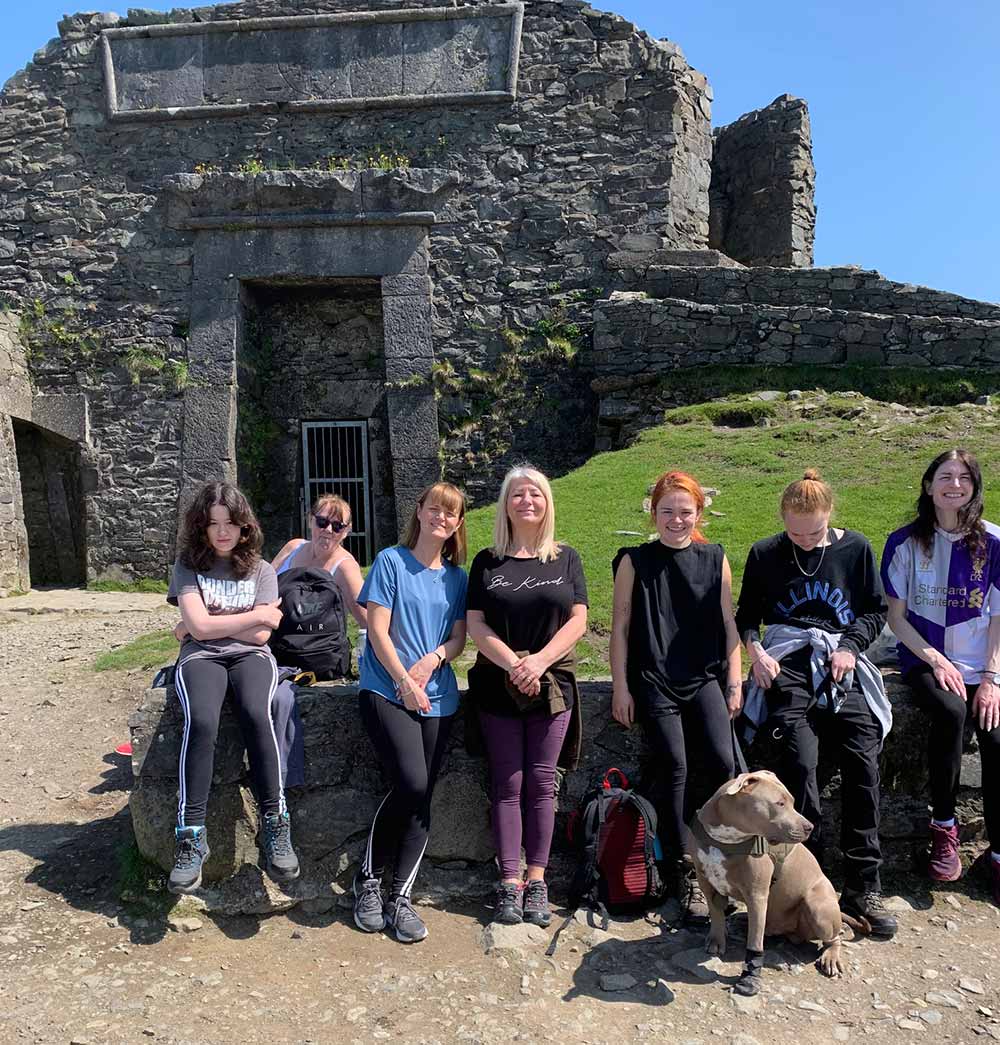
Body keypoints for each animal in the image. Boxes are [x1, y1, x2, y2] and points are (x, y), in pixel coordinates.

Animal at [685, 769, 865, 994]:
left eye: (793, 802)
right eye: (779, 803)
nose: (810, 827)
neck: (727, 839)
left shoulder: (757, 895)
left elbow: (755, 943)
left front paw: (750, 977)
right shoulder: (706, 882)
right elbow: (716, 913)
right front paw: (717, 940)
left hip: (818, 907)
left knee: (834, 937)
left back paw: (830, 956)